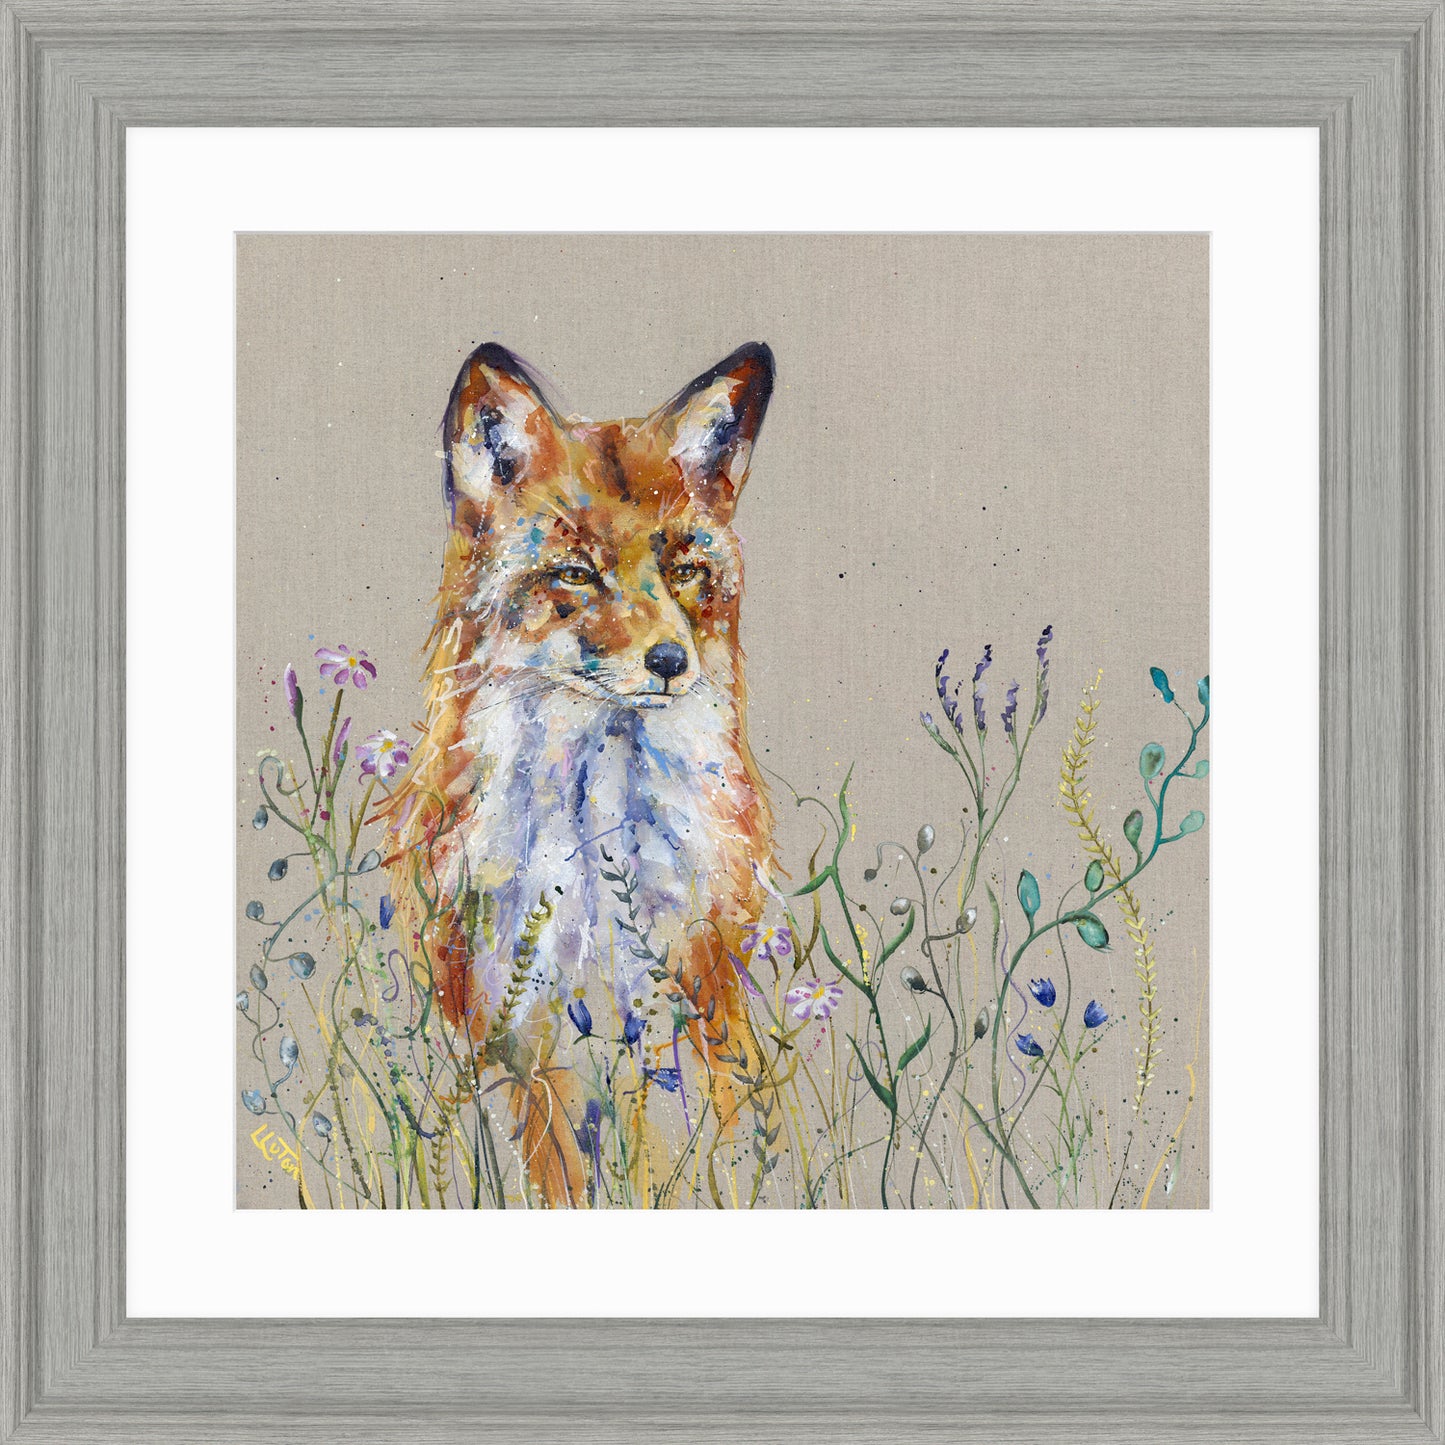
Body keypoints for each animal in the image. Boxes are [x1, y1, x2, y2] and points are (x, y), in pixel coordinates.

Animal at [383, 341, 779, 1207]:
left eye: (684, 569)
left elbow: (717, 1142)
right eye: (574, 573)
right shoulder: (521, 1025)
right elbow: (566, 1170)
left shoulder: (692, 987)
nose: (670, 662)